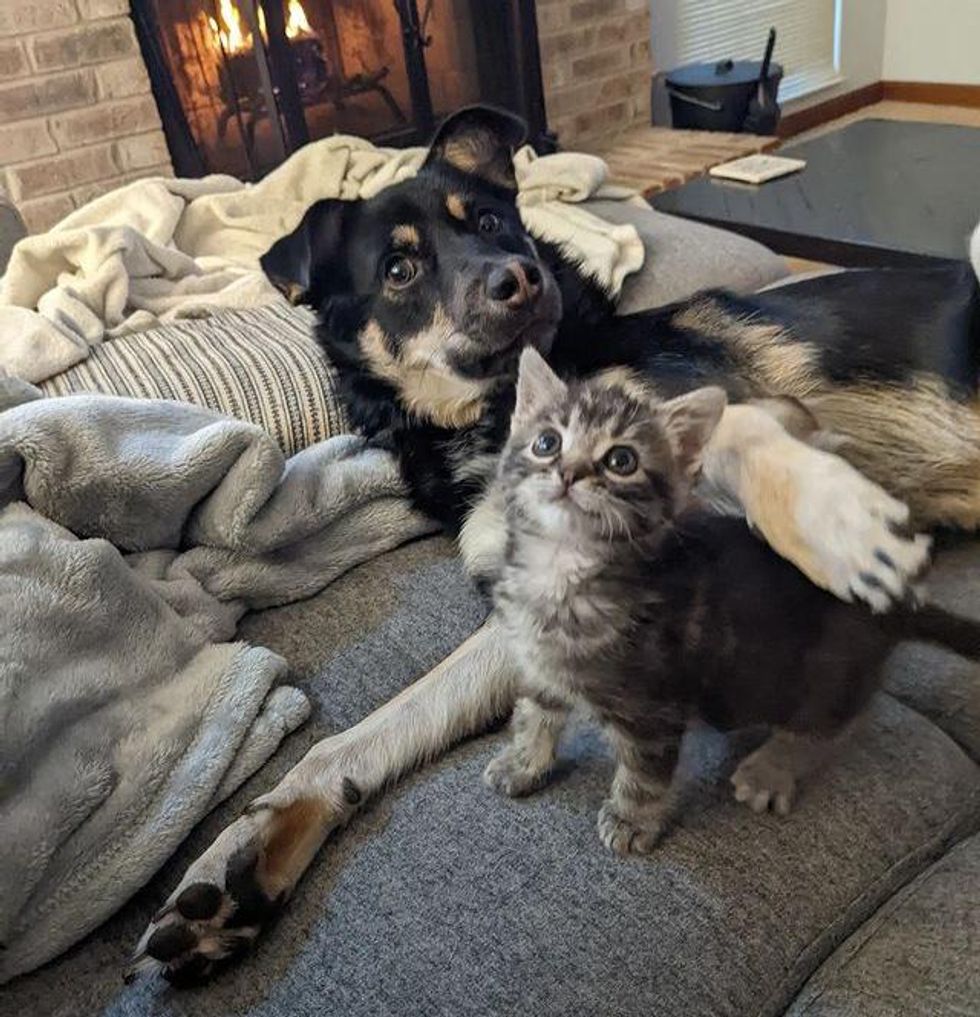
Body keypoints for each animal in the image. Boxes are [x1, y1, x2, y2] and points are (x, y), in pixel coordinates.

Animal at [487, 345, 980, 854]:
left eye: (621, 460)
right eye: (547, 443)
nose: (568, 472)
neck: (560, 568)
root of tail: (900, 604)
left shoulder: (656, 707)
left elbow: (645, 772)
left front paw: (632, 820)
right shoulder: (537, 668)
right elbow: (535, 715)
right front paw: (522, 763)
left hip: (820, 682)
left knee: (835, 725)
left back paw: (772, 767)